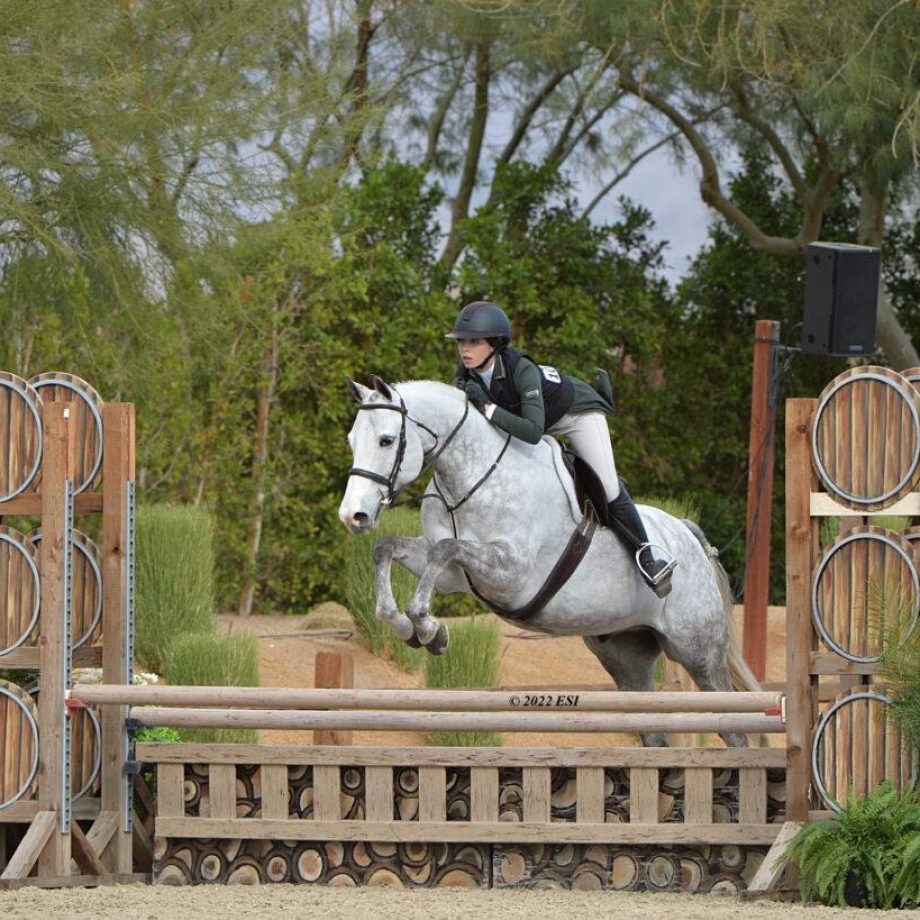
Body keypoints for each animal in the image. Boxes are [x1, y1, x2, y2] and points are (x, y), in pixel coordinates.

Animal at [338, 378, 760, 744]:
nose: (353, 516)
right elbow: (388, 548)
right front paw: (407, 627)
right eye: (352, 441)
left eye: (386, 440)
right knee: (653, 730)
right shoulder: (455, 577)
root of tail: (688, 534)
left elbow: (444, 550)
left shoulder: (511, 574)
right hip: (626, 656)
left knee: (733, 728)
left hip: (699, 652)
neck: (472, 478)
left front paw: (428, 628)